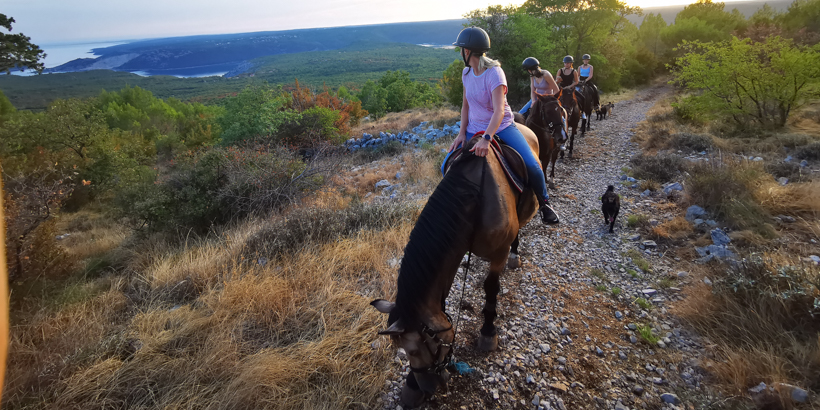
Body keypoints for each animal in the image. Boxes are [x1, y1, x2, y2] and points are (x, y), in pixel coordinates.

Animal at [370, 131, 540, 406]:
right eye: (403, 351)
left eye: (417, 348)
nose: (427, 386)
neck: (475, 198)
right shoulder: (453, 254)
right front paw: (410, 385)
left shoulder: (498, 253)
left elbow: (491, 289)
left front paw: (488, 332)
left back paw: (516, 254)